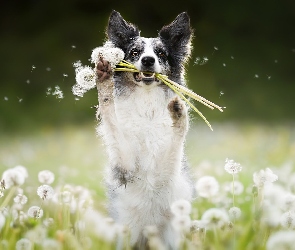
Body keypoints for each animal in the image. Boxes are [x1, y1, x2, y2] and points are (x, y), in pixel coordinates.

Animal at [96, 10, 195, 249]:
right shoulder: (125, 167)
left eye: (160, 53)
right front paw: (103, 80)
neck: (147, 107)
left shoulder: (167, 173)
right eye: (134, 52)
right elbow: (109, 112)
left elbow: (178, 136)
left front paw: (180, 111)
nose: (148, 60)